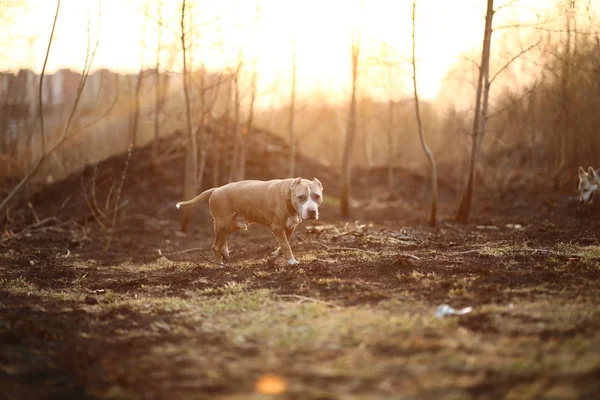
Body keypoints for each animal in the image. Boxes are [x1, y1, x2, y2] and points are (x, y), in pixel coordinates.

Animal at [175, 178, 324, 266]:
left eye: (317, 196)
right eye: (301, 197)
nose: (312, 211)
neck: (288, 193)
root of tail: (216, 189)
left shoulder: (289, 227)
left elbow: (282, 247)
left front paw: (272, 257)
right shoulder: (277, 228)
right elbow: (286, 246)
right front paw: (292, 262)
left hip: (233, 224)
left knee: (222, 238)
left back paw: (225, 252)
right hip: (223, 222)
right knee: (216, 245)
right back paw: (220, 265)